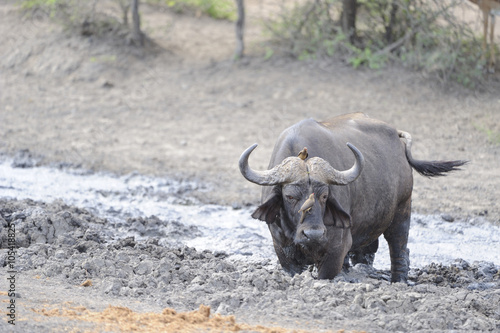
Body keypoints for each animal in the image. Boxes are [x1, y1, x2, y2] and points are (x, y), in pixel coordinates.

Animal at [238, 113, 464, 282]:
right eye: (290, 196)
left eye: (325, 195)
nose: (313, 234)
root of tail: (397, 137)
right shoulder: (282, 248)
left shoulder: (336, 249)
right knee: (367, 251)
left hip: (402, 209)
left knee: (399, 248)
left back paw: (398, 280)